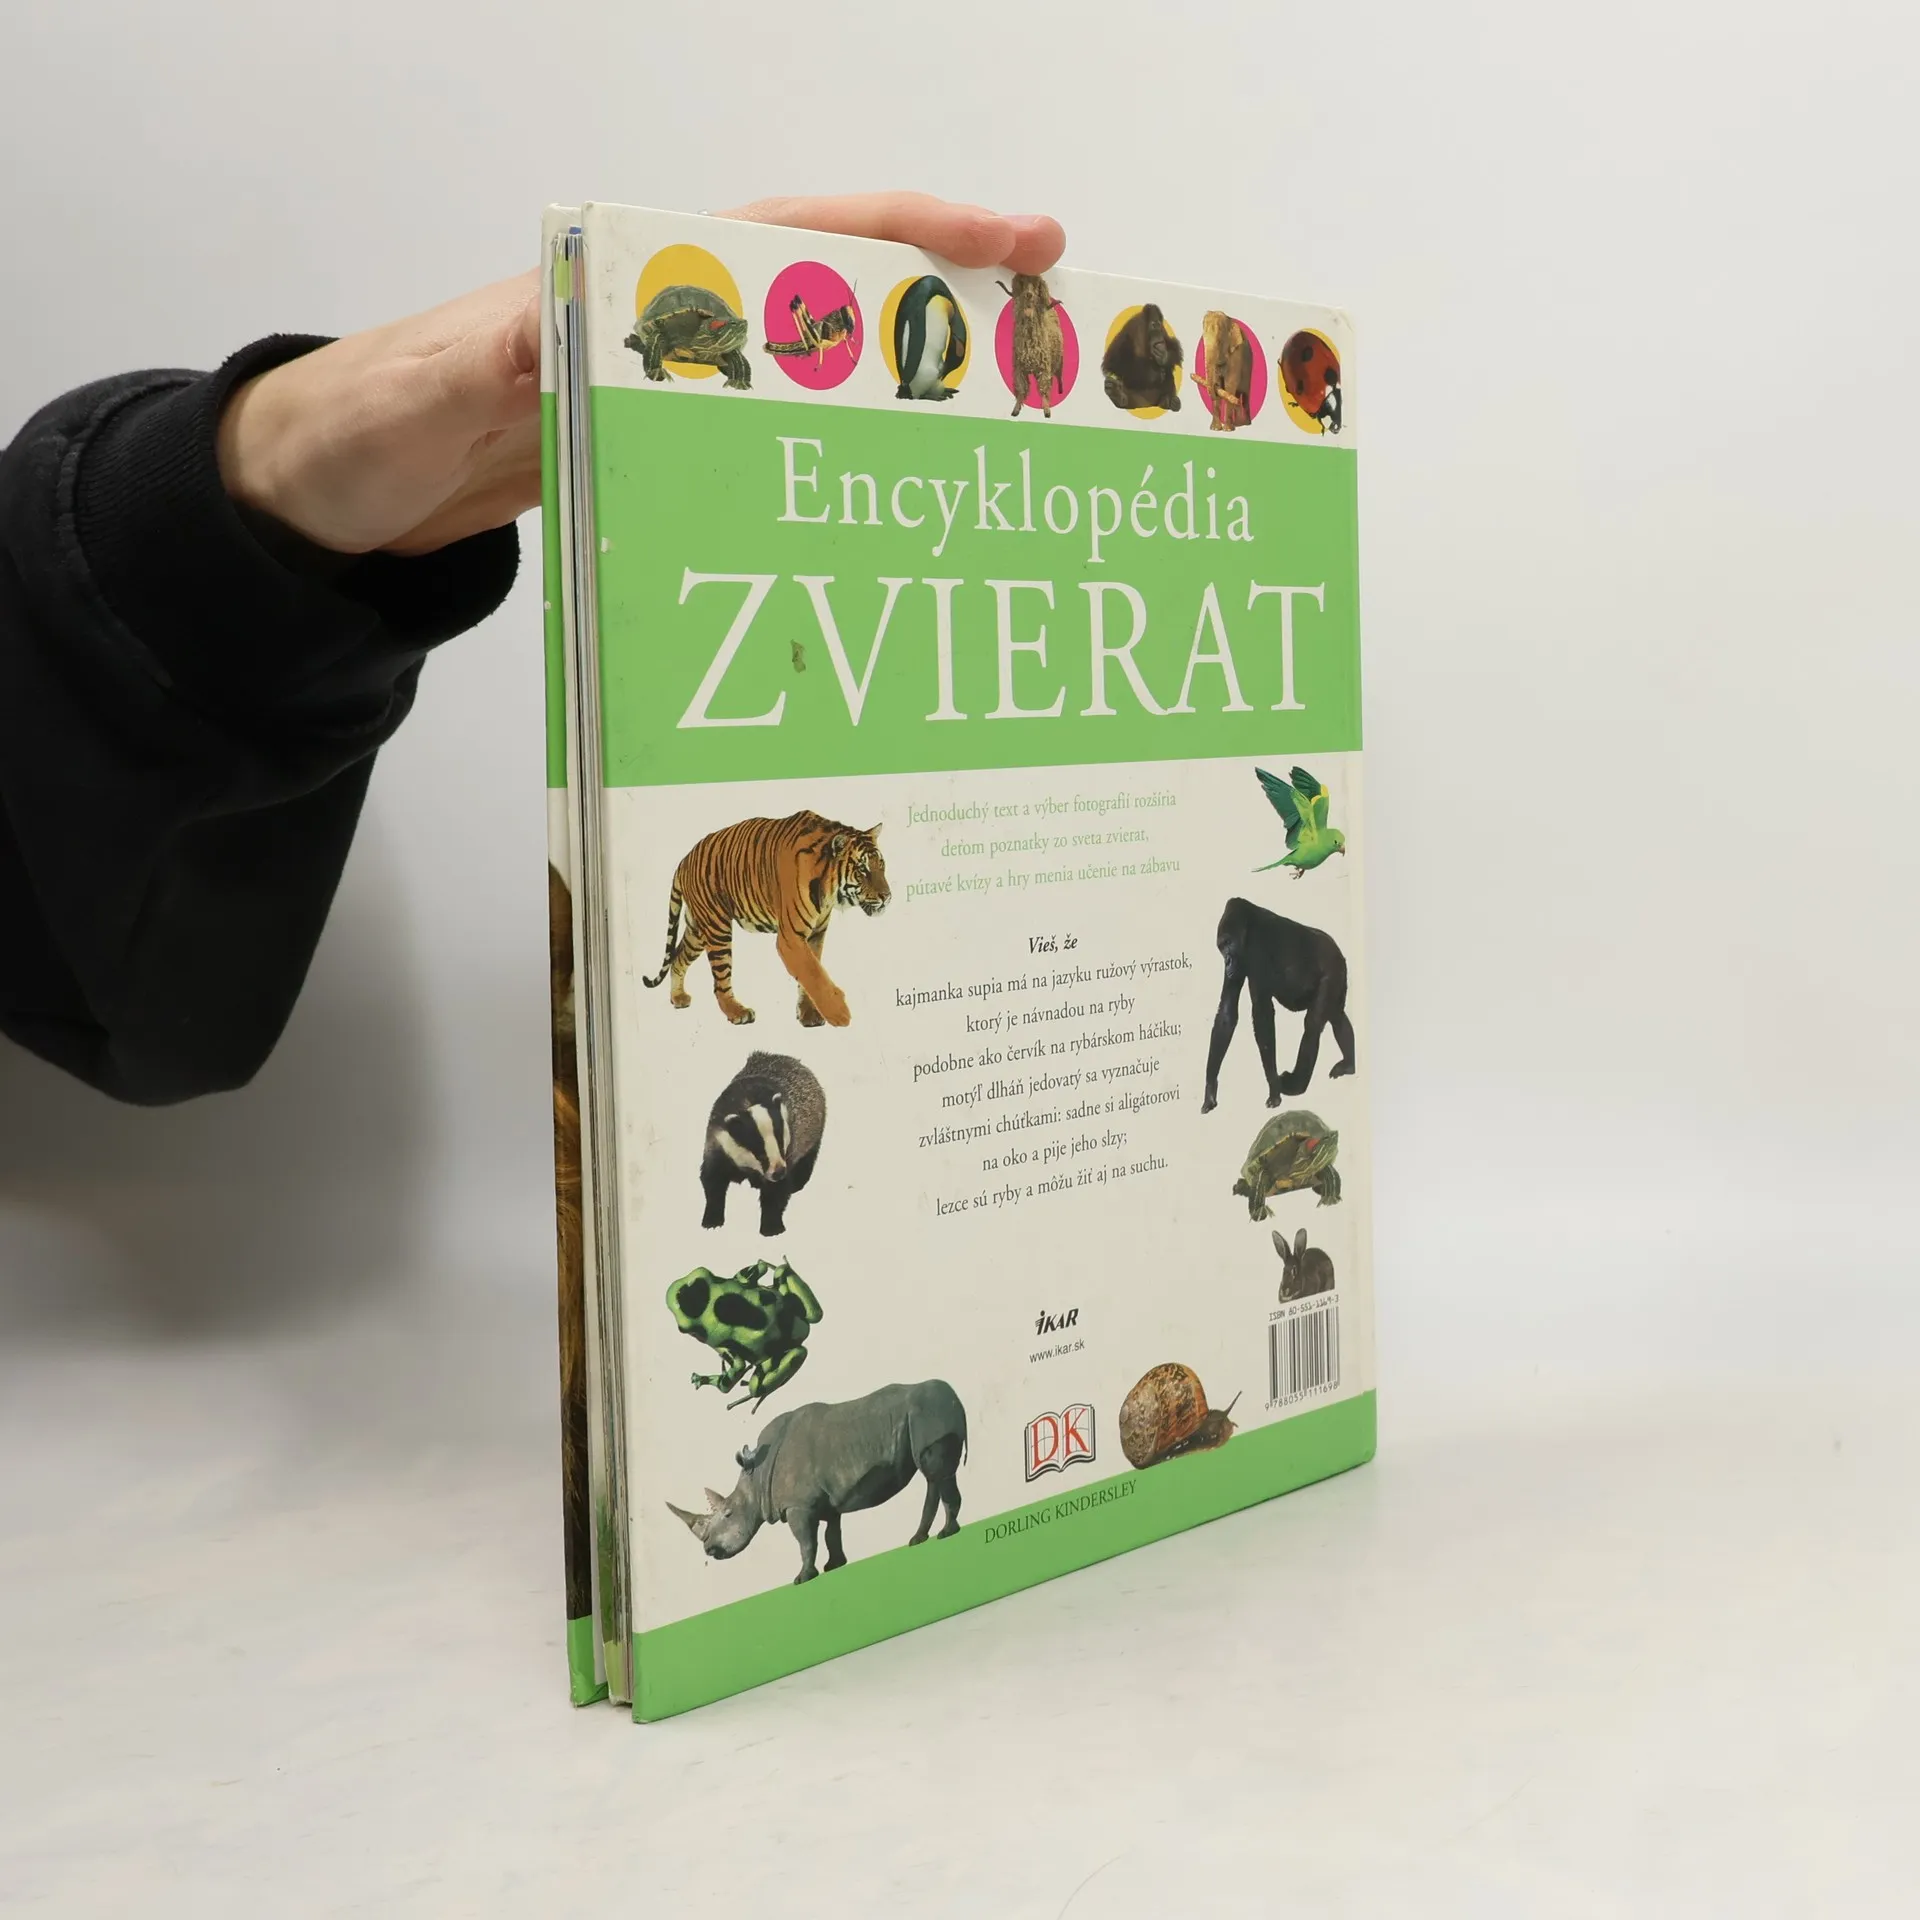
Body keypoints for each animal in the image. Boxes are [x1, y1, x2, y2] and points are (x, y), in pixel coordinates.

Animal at [640, 811, 890, 1028]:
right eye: (862, 870)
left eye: (881, 866)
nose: (887, 896)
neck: (828, 891)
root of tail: (684, 859)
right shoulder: (790, 938)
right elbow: (814, 974)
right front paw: (840, 1014)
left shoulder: (815, 934)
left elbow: (811, 974)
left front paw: (809, 1014)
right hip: (717, 926)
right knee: (720, 980)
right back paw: (738, 1012)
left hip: (697, 929)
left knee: (677, 957)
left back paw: (678, 998)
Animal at [668, 1380, 967, 1584]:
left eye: (729, 1513)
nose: (709, 1550)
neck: (756, 1477)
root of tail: (955, 1394)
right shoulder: (825, 1503)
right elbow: (830, 1534)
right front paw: (835, 1566)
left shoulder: (798, 1505)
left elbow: (805, 1541)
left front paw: (802, 1578)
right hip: (925, 1416)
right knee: (934, 1476)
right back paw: (921, 1538)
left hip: (929, 1414)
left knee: (937, 1475)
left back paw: (944, 1534)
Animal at [1201, 897, 1356, 1114]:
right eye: (1221, 947)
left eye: (1228, 943)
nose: (1228, 961)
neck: (1247, 925)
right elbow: (1227, 1014)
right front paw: (1210, 1090)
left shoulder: (1257, 948)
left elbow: (1262, 1014)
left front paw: (1274, 1089)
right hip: (1340, 975)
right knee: (1337, 1016)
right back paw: (1349, 1064)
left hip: (1333, 968)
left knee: (1313, 1024)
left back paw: (1297, 1085)